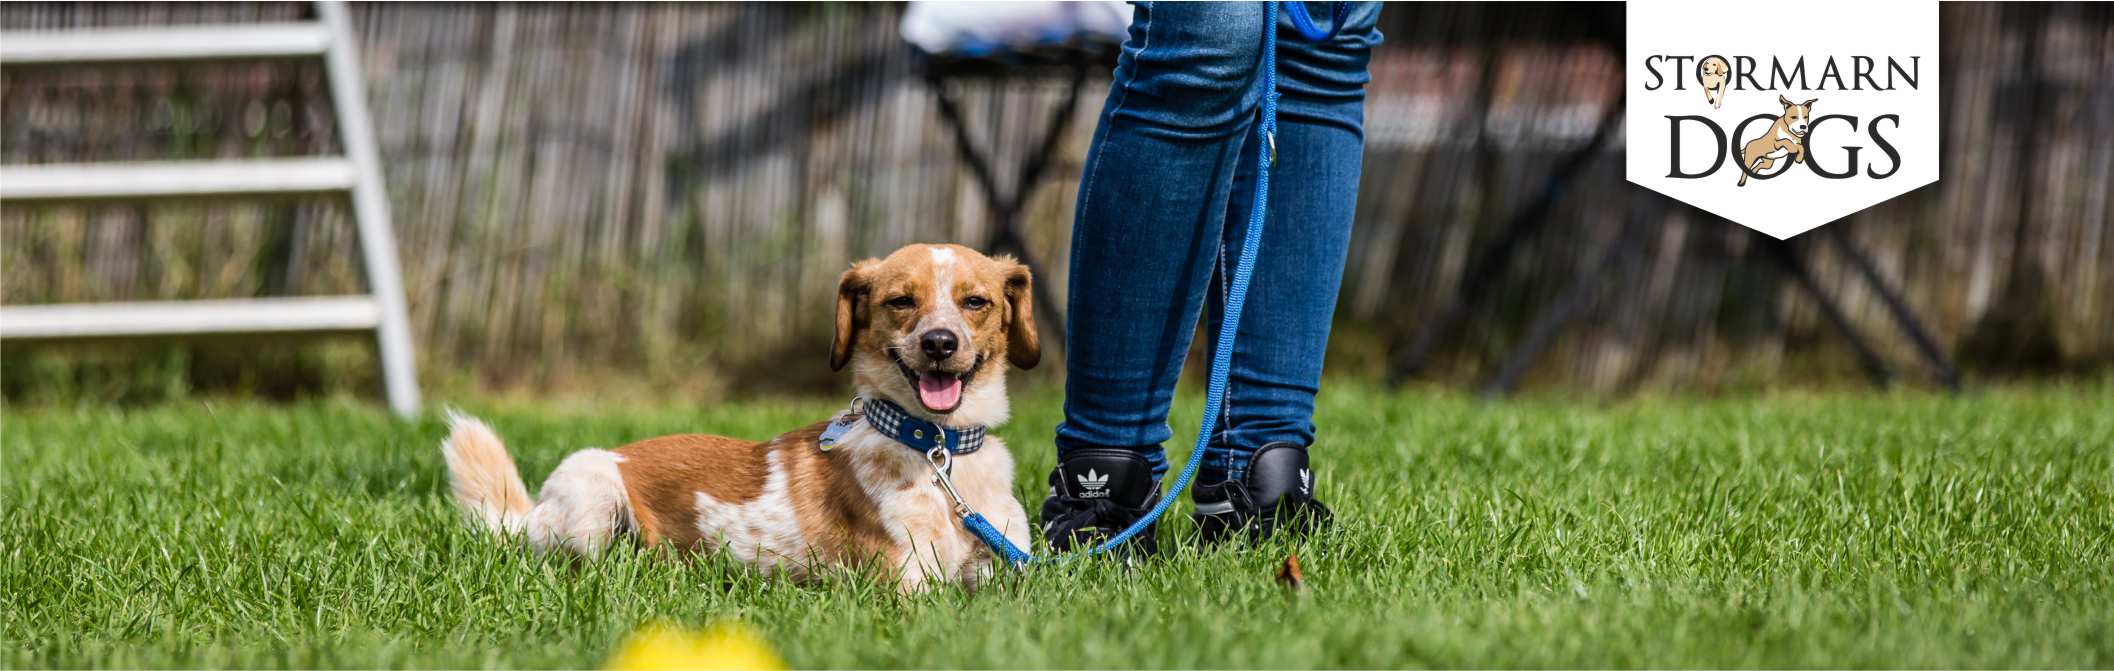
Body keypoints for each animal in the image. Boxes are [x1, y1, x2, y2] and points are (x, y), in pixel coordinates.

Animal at [441, 243, 1035, 588]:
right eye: (901, 301)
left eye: (976, 302)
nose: (939, 343)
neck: (938, 449)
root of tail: (527, 518)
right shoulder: (906, 587)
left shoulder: (1011, 579)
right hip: (593, 497)